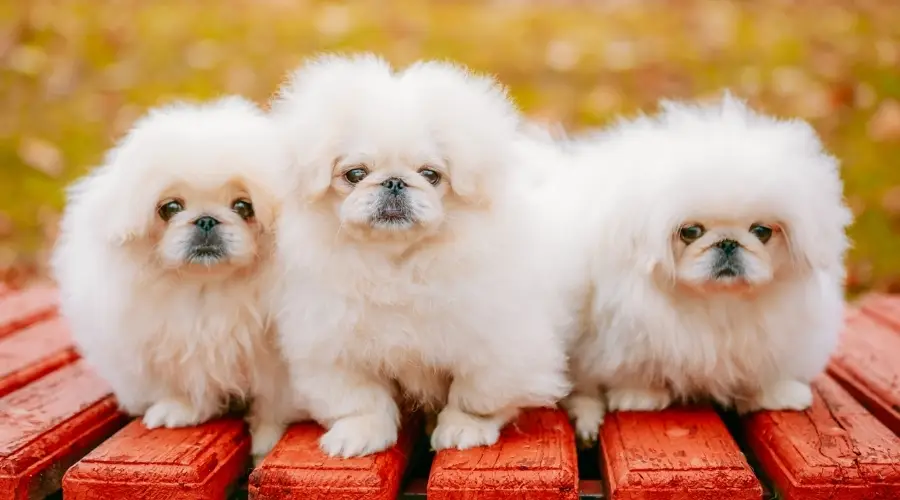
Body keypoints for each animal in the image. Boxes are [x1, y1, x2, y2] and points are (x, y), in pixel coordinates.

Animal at [51, 95, 298, 458]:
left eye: (244, 207)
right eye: (169, 208)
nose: (206, 219)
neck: (207, 289)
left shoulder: (275, 368)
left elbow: (272, 403)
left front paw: (267, 440)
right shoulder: (168, 346)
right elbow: (186, 381)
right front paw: (180, 409)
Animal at [270, 54, 572, 458]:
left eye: (430, 174)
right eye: (355, 174)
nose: (394, 182)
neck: (399, 266)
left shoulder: (495, 346)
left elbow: (474, 397)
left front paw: (464, 428)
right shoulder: (334, 346)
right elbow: (362, 402)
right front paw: (359, 434)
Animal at [552, 94, 856, 442]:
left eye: (762, 231)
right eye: (690, 232)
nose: (728, 242)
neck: (718, 303)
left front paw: (779, 394)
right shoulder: (629, 332)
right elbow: (634, 367)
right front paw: (639, 396)